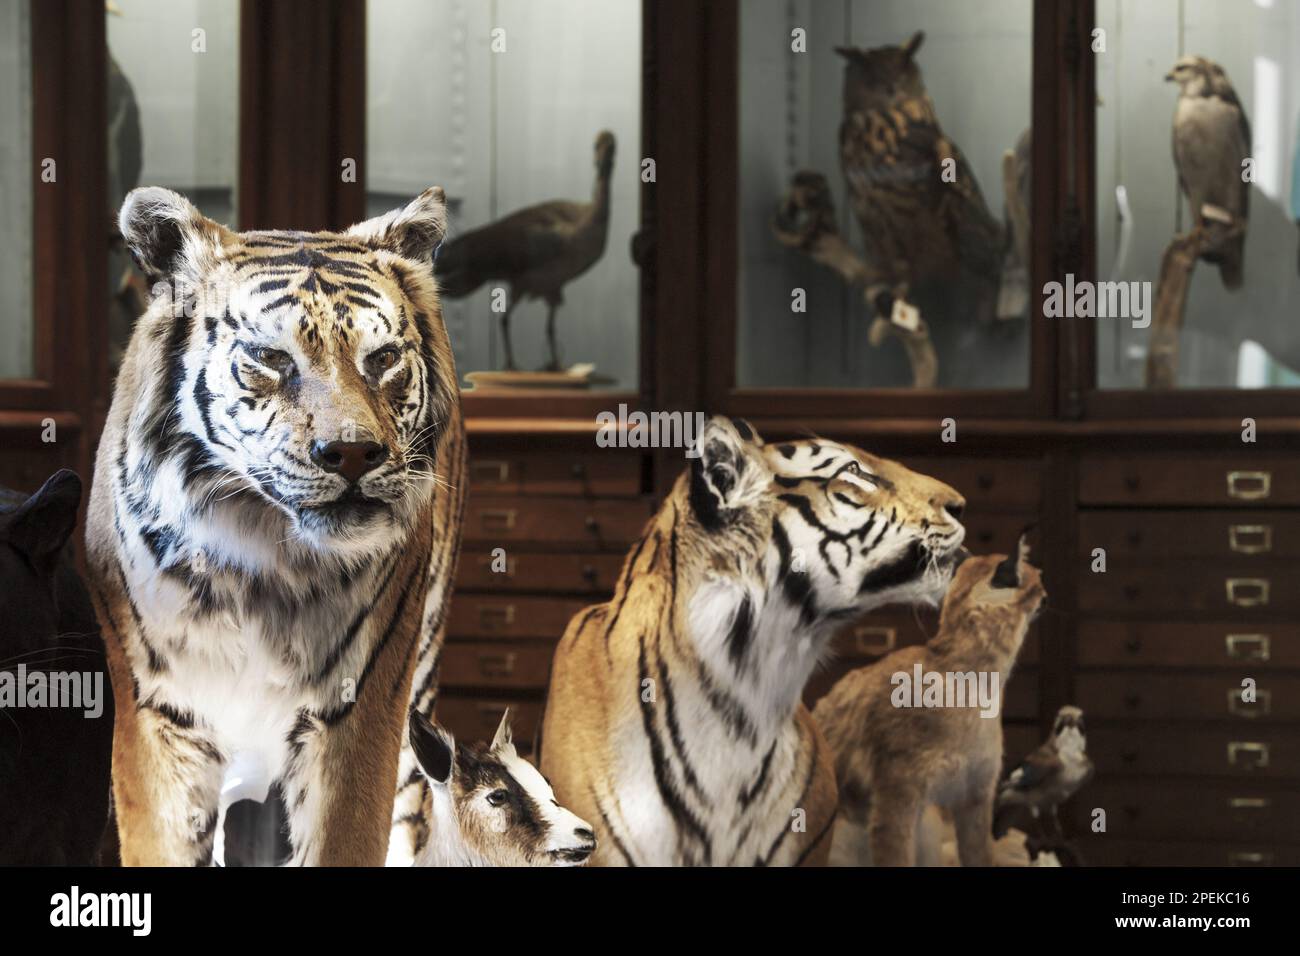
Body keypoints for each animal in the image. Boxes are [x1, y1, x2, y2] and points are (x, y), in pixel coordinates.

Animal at [86, 184, 465, 868]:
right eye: (270, 358)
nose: (353, 453)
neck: (261, 552)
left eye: (383, 359)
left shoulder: (358, 709)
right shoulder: (159, 711)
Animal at [816, 535, 1040, 868]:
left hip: (929, 823)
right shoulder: (897, 802)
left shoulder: (975, 797)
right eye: (1039, 580)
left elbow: (979, 857)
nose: (1047, 594)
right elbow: (896, 860)